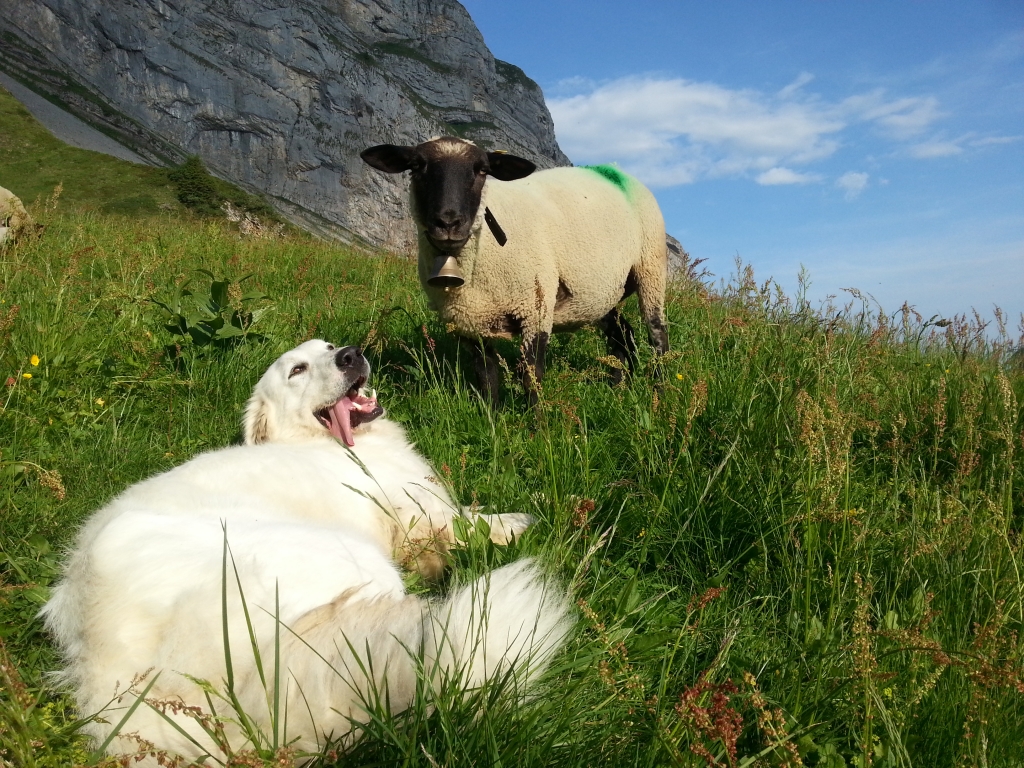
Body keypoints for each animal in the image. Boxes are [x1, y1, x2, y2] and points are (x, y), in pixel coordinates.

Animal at [44, 342, 573, 765]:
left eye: (330, 347)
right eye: (297, 370)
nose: (350, 354)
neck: (326, 443)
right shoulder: (419, 514)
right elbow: (473, 522)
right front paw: (527, 520)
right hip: (356, 560)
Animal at [362, 138, 671, 403]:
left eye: (482, 170)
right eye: (416, 166)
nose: (448, 223)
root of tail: (612, 169)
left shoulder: (535, 309)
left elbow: (531, 374)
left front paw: (537, 428)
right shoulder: (468, 321)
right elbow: (486, 374)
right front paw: (493, 419)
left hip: (651, 268)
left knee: (657, 334)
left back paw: (660, 390)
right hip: (598, 293)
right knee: (623, 336)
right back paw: (617, 387)